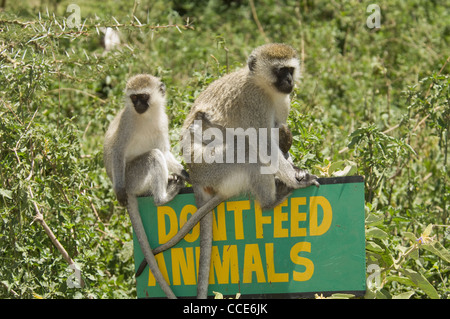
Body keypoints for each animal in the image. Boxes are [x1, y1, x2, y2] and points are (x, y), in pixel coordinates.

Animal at [103, 74, 187, 300]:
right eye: (134, 98)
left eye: (144, 97)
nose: (138, 105)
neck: (146, 116)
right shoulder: (127, 122)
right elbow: (117, 151)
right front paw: (118, 192)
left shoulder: (163, 121)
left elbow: (165, 151)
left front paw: (186, 173)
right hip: (133, 177)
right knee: (153, 156)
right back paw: (162, 197)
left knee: (158, 153)